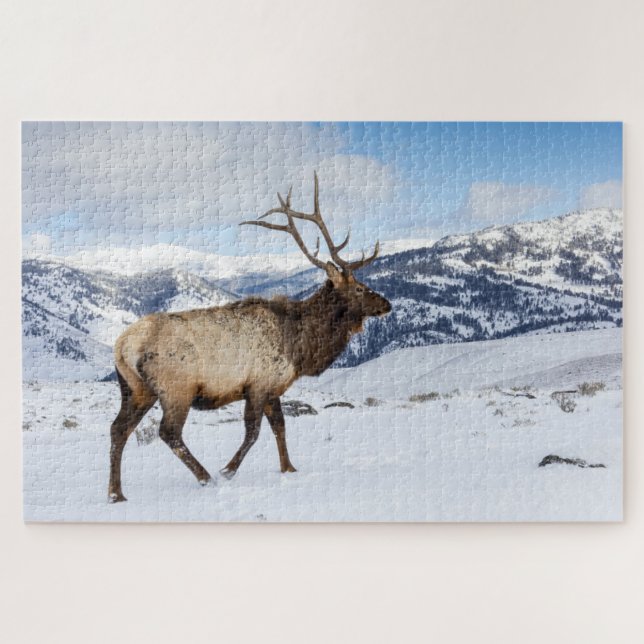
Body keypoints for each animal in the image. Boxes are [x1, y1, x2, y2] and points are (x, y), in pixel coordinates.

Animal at [108, 173, 391, 502]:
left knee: (118, 429)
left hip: (135, 389)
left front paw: (289, 468)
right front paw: (227, 470)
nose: (387, 304)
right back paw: (205, 477)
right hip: (176, 388)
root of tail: (124, 346)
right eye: (359, 288)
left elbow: (280, 426)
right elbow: (253, 432)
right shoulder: (257, 384)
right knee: (168, 432)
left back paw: (116, 493)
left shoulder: (273, 387)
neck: (300, 346)